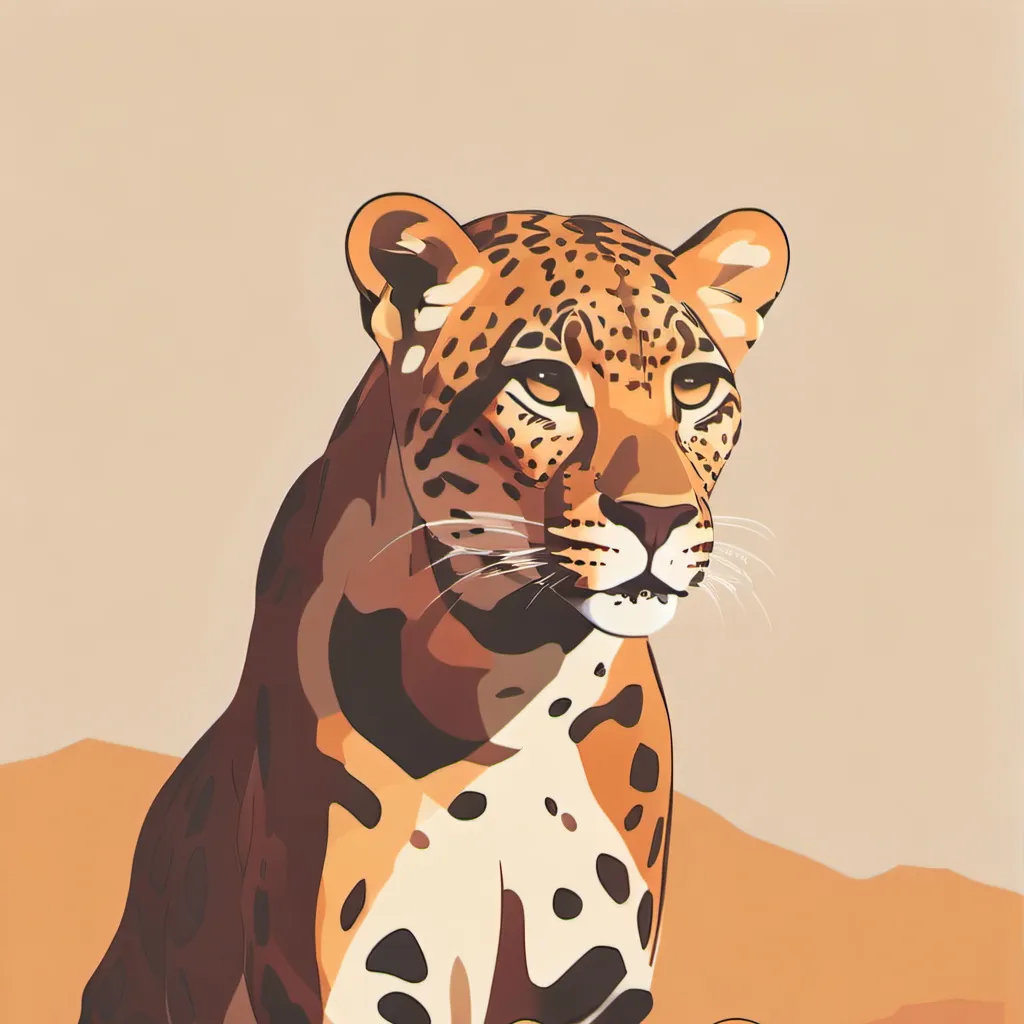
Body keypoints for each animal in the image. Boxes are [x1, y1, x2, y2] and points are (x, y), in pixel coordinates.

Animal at [77, 192, 789, 1024]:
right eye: (544, 383)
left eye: (696, 388)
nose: (658, 518)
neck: (514, 680)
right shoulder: (355, 985)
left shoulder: (600, 984)